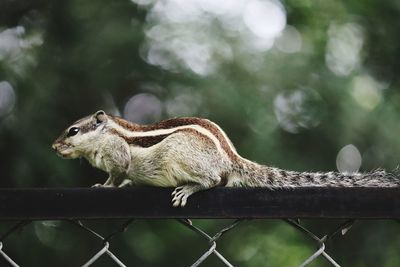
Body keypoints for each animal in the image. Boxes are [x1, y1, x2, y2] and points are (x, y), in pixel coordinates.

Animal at [52, 110, 400, 207]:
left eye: (72, 130)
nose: (54, 146)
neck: (108, 132)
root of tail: (230, 159)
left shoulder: (118, 155)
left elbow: (117, 173)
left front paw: (105, 187)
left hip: (181, 156)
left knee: (213, 180)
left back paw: (190, 188)